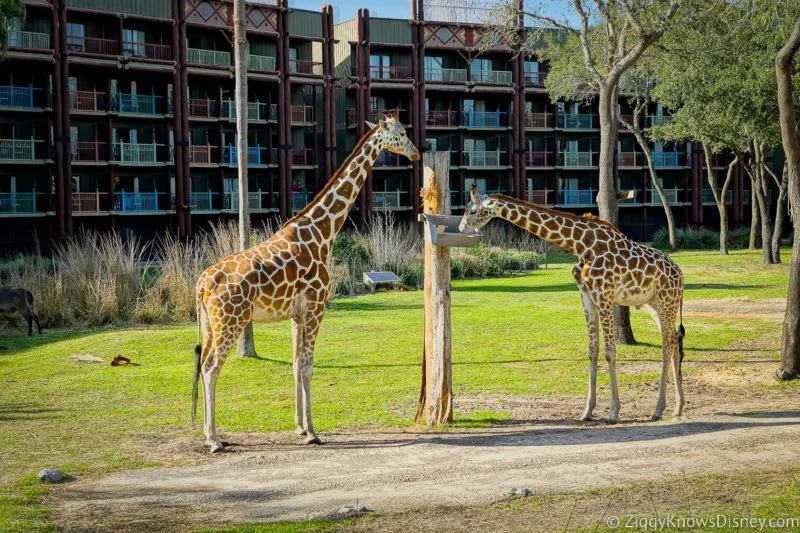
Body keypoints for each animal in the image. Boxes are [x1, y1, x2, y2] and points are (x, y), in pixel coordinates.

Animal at [194, 114, 422, 450]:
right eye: (402, 133)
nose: (416, 154)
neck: (322, 233)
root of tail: (202, 284)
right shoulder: (317, 307)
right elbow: (308, 366)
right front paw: (313, 432)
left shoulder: (296, 314)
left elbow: (294, 364)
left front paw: (300, 426)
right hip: (231, 321)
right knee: (211, 368)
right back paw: (213, 439)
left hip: (211, 323)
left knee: (202, 365)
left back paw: (210, 434)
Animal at [460, 187, 684, 424]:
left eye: (473, 211)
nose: (461, 228)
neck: (581, 245)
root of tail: (680, 274)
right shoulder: (587, 297)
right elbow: (592, 351)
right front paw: (587, 411)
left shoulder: (604, 295)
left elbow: (610, 351)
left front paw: (614, 412)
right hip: (655, 304)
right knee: (673, 339)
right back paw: (678, 407)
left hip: (666, 300)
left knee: (667, 344)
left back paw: (659, 409)